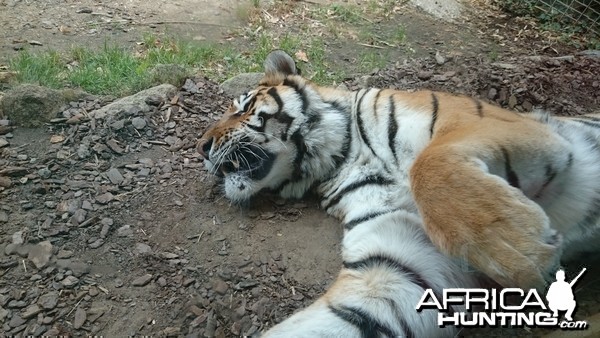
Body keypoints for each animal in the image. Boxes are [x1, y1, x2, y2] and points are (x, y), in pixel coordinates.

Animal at [198, 50, 600, 338]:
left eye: (243, 108)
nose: (200, 147)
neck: (342, 158)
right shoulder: (400, 261)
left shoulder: (501, 124)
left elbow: (429, 164)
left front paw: (521, 249)